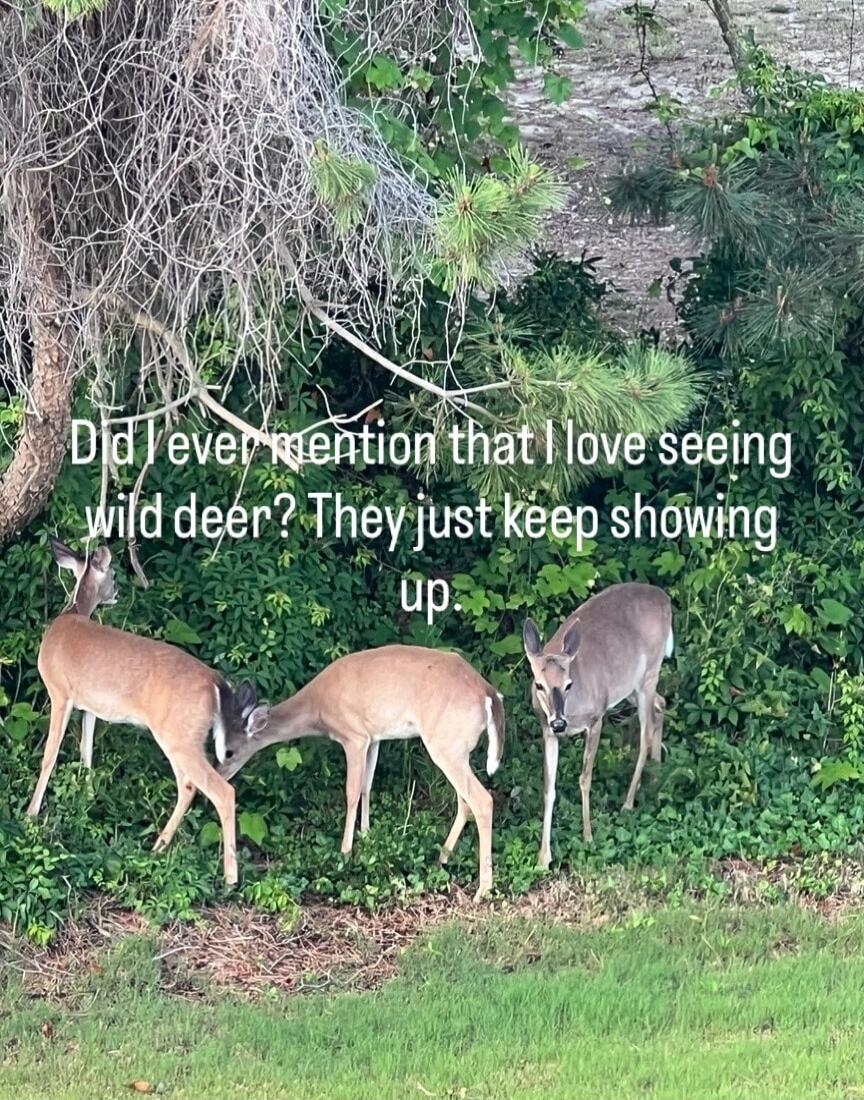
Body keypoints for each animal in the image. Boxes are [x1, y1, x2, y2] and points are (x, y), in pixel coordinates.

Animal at [27, 537, 270, 885]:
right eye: (114, 574)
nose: (117, 591)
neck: (72, 615)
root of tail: (215, 681)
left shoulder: (60, 691)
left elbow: (49, 755)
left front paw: (31, 814)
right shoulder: (91, 706)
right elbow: (87, 753)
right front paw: (86, 801)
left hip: (177, 734)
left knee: (220, 790)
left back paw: (229, 877)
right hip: (183, 736)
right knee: (190, 785)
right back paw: (157, 848)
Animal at [218, 644, 505, 900]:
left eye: (229, 752)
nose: (219, 774)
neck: (317, 708)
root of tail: (488, 693)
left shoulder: (354, 736)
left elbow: (352, 791)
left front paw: (345, 851)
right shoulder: (374, 737)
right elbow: (367, 785)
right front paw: (367, 836)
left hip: (445, 744)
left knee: (482, 800)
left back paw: (482, 890)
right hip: (455, 748)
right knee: (465, 803)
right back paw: (442, 858)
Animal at [523, 582, 672, 868]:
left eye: (569, 684)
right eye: (539, 684)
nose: (560, 722)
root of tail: (665, 597)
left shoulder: (596, 719)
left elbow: (585, 778)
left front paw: (588, 836)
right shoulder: (546, 730)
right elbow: (548, 788)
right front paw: (543, 857)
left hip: (650, 673)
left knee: (646, 732)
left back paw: (628, 803)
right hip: (631, 685)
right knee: (661, 705)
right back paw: (656, 774)